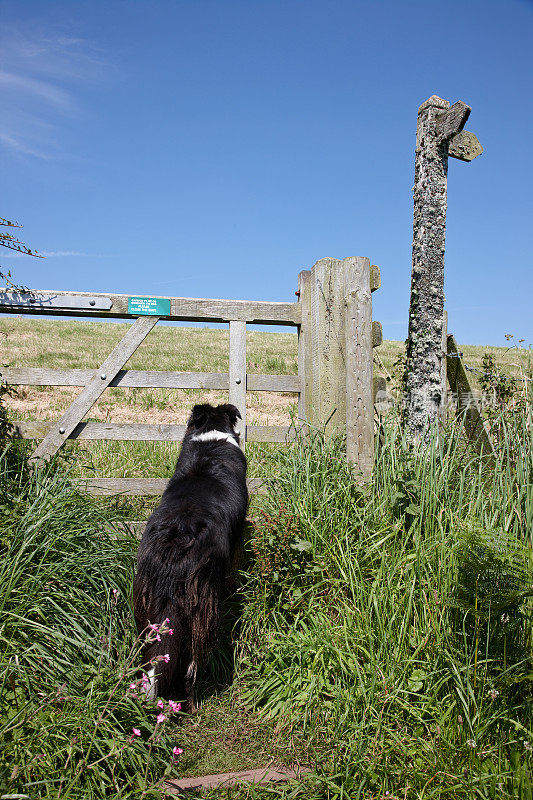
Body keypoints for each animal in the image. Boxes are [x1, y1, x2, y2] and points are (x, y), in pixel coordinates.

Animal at [133, 404, 249, 708]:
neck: (210, 440)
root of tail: (177, 538)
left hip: (144, 602)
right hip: (203, 605)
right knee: (192, 659)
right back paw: (191, 699)